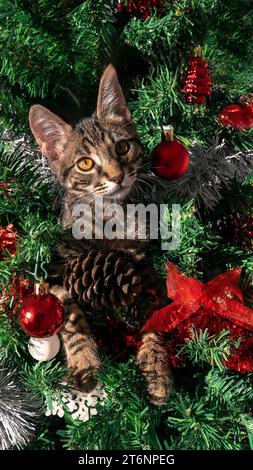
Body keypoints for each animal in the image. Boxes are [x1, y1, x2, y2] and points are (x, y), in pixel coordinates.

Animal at [28, 64, 173, 406]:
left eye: (122, 147)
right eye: (85, 163)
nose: (118, 176)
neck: (109, 220)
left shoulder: (141, 265)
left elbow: (155, 317)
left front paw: (156, 368)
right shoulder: (58, 266)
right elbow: (69, 314)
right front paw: (84, 365)